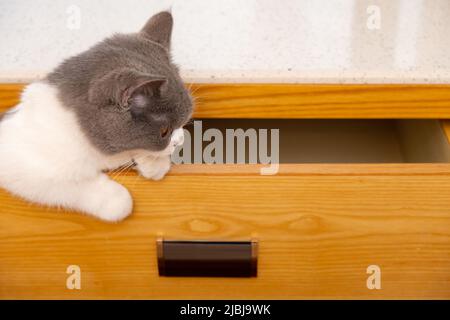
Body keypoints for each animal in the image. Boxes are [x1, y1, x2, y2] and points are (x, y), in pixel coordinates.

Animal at [0, 12, 192, 222]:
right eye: (165, 131)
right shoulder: (19, 162)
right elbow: (67, 184)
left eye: (184, 121)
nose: (180, 141)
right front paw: (117, 200)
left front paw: (154, 163)